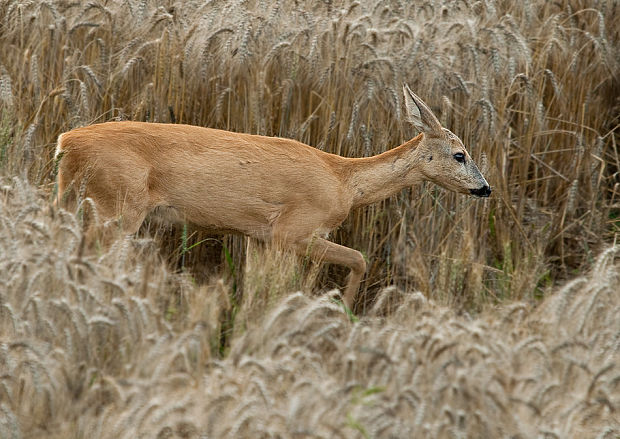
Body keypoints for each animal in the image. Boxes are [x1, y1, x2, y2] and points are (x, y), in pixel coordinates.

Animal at [55, 86, 490, 312]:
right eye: (460, 154)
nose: (485, 188)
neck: (343, 181)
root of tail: (66, 142)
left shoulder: (259, 237)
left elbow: (257, 289)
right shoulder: (293, 231)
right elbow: (358, 260)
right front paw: (342, 314)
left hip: (75, 201)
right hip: (117, 207)